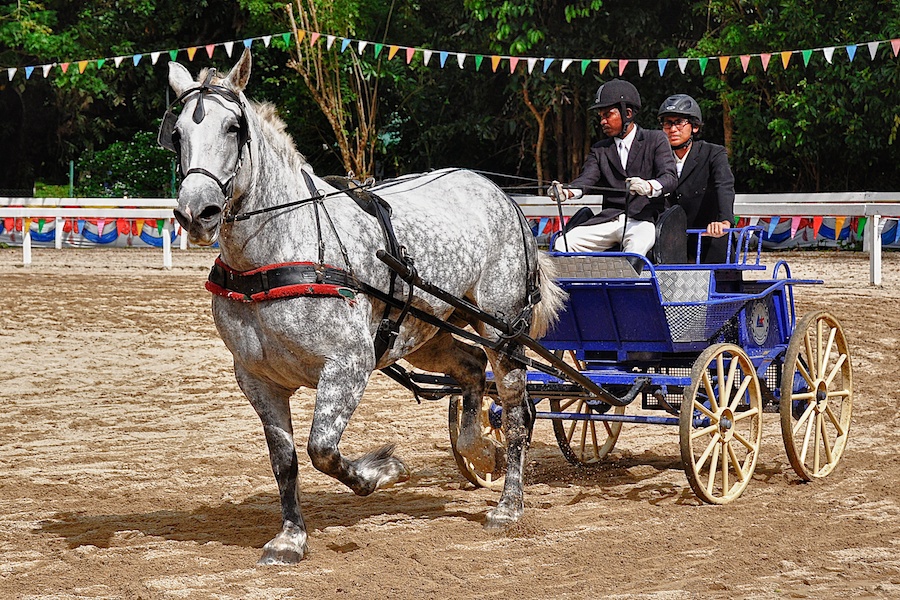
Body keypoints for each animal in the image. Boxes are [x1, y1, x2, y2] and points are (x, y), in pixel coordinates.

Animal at [162, 49, 566, 564]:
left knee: (516, 410)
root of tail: (502, 196)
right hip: (429, 333)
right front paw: (290, 538)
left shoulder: (348, 366)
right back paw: (479, 451)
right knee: (473, 370)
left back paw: (509, 504)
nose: (197, 213)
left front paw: (385, 471)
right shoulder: (258, 379)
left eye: (234, 127)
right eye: (177, 134)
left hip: (501, 330)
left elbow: (322, 450)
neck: (277, 254)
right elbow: (285, 461)